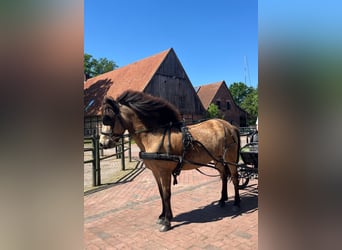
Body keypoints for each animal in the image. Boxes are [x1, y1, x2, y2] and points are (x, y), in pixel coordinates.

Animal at [99, 90, 240, 232]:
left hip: (230, 158)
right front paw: (163, 216)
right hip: (218, 159)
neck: (153, 136)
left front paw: (167, 222)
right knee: (223, 176)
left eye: (108, 118)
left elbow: (167, 194)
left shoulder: (164, 171)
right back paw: (222, 200)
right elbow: (161, 193)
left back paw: (236, 203)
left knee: (234, 178)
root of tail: (230, 126)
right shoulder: (155, 172)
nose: (102, 143)